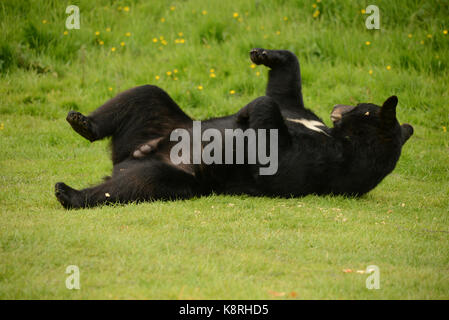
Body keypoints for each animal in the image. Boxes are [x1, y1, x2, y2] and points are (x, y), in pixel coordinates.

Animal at [55, 47, 412, 208]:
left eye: (361, 106)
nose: (340, 107)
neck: (341, 137)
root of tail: (131, 155)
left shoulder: (325, 162)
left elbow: (275, 154)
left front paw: (246, 113)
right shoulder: (303, 115)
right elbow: (283, 93)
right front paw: (264, 55)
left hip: (180, 178)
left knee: (135, 185)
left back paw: (70, 193)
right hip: (160, 122)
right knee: (146, 94)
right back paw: (83, 123)